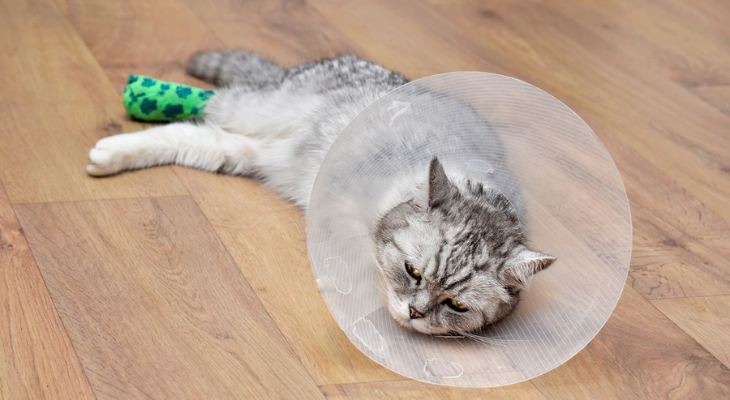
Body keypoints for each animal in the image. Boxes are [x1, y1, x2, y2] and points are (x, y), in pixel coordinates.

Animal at [86, 50, 552, 338]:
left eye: (456, 305)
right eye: (412, 271)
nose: (416, 313)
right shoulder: (335, 206)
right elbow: (348, 250)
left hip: (238, 153)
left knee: (192, 135)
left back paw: (111, 153)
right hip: (252, 108)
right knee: (207, 102)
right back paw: (137, 108)